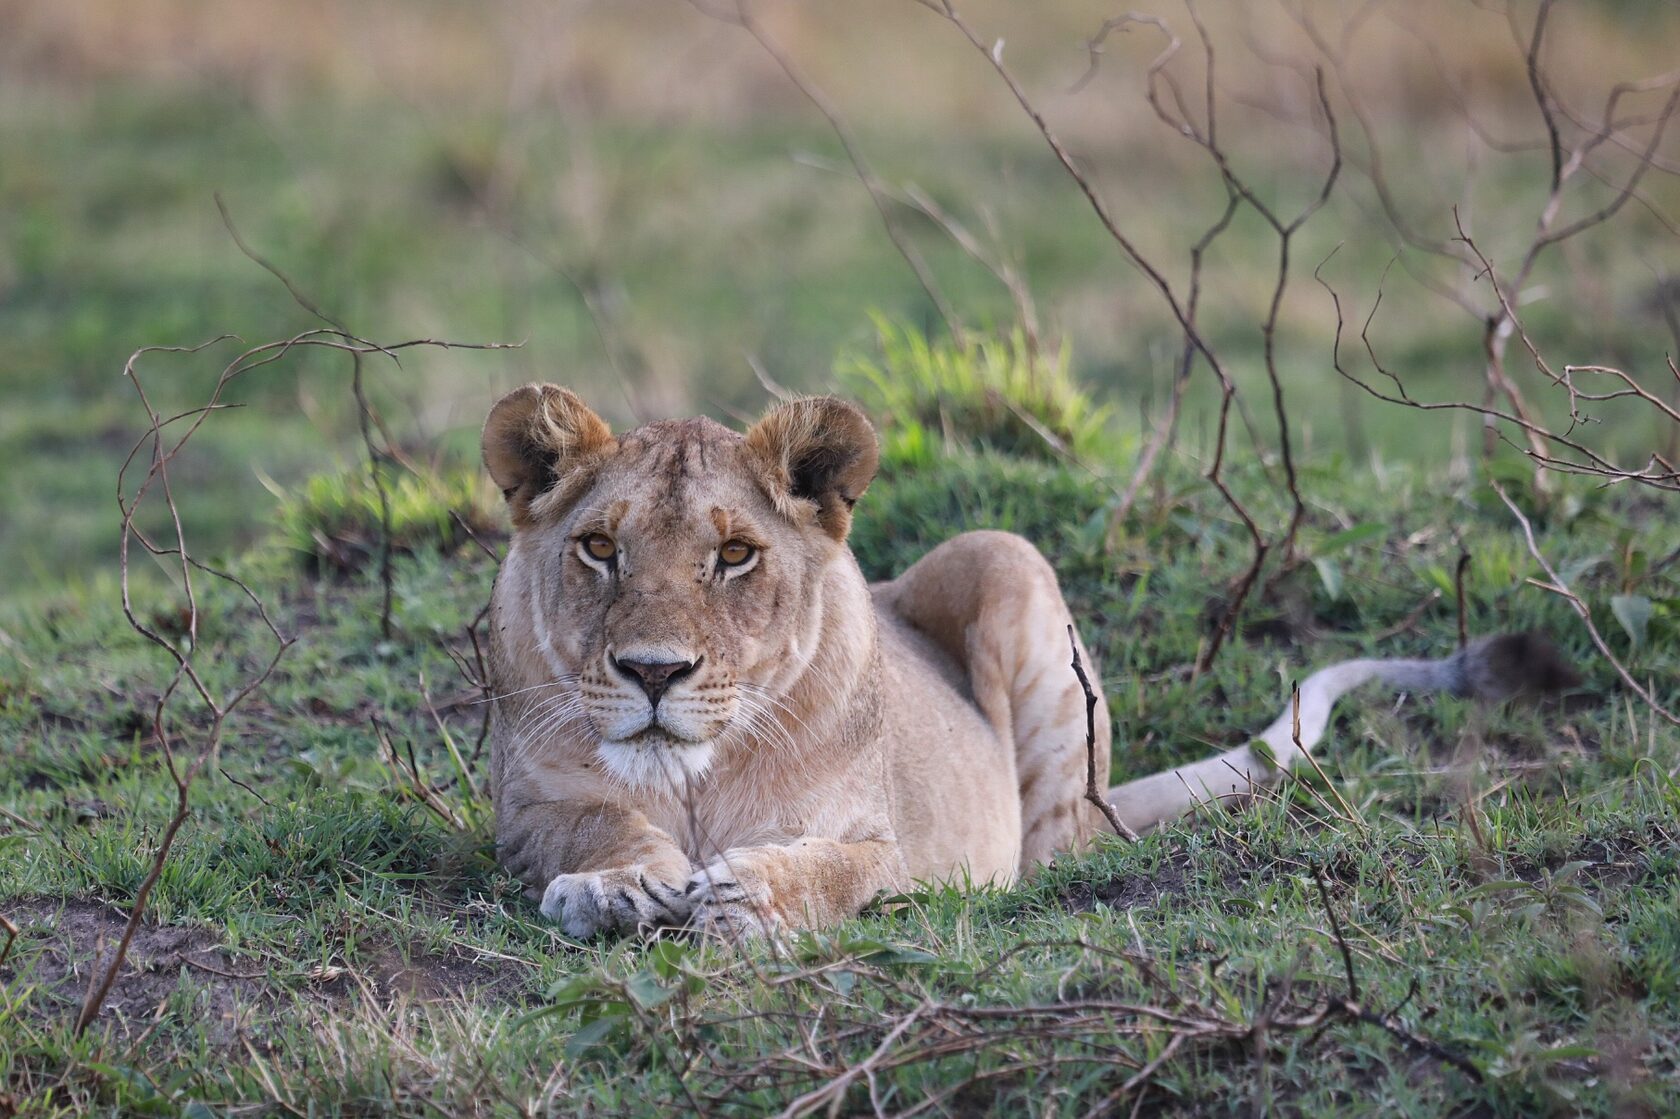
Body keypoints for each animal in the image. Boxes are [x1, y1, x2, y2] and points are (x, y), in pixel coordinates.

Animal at [481, 385, 1571, 938]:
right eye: (599, 548)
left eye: (736, 555)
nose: (653, 672)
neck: (694, 785)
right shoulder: (528, 808)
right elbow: (590, 824)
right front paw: (615, 886)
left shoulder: (889, 841)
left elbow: (841, 864)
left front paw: (754, 895)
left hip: (1003, 558)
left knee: (1054, 853)